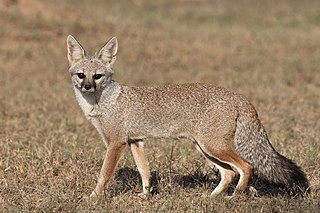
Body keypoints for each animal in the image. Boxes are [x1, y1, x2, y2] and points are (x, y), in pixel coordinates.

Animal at [66, 35, 308, 198]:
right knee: (229, 173)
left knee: (247, 167)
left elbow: (104, 174)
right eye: (81, 75)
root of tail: (239, 96)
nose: (87, 87)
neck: (104, 103)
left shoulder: (116, 144)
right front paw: (145, 195)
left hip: (213, 147)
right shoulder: (136, 141)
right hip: (205, 149)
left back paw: (235, 196)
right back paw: (213, 197)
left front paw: (94, 197)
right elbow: (145, 172)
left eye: (98, 76)